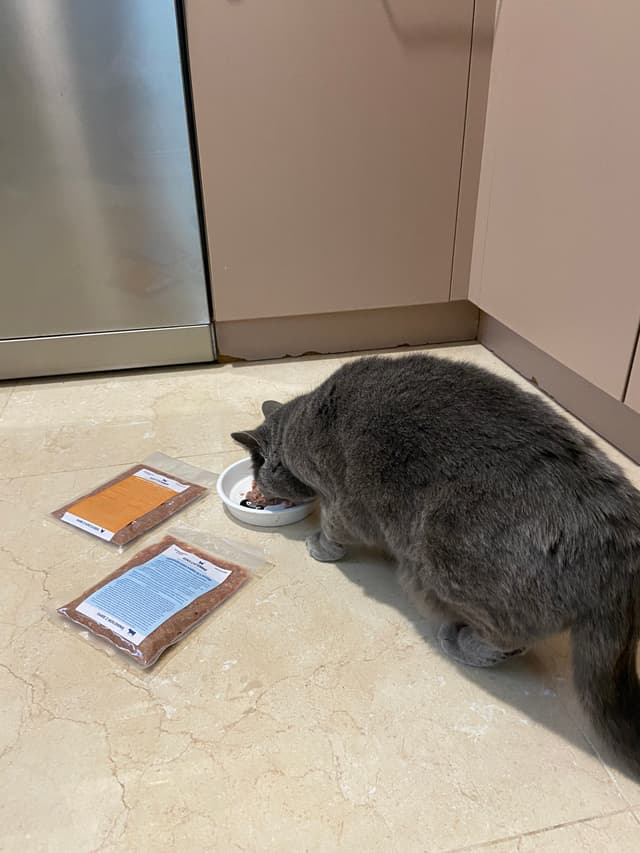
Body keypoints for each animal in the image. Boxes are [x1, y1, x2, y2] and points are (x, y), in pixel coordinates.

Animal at [232, 354, 640, 773]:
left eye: (258, 468)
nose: (257, 486)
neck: (299, 427)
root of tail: (620, 547)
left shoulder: (344, 499)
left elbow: (335, 525)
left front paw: (319, 545)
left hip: (440, 557)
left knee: (512, 637)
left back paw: (460, 642)